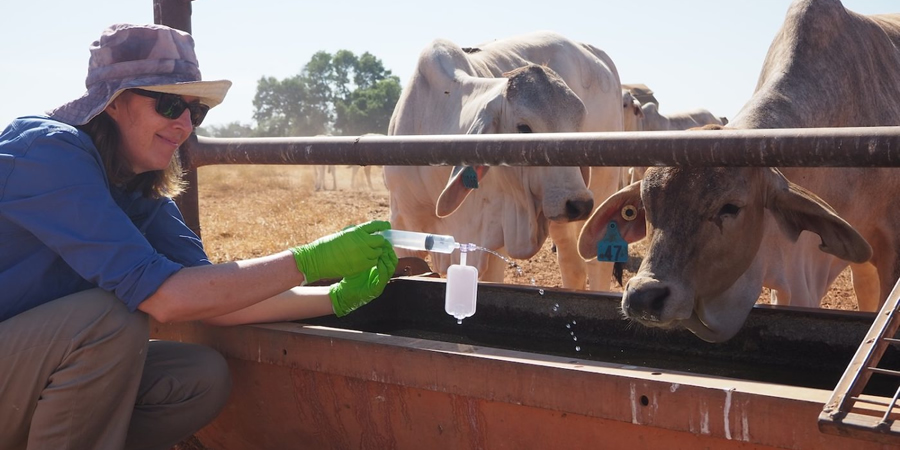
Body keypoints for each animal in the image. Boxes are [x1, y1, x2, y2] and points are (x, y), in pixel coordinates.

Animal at [385, 31, 624, 288]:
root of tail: (591, 49)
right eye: (523, 128)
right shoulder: (401, 226)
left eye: (579, 126)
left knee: (595, 265)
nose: (579, 204)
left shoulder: (491, 237)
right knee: (573, 267)